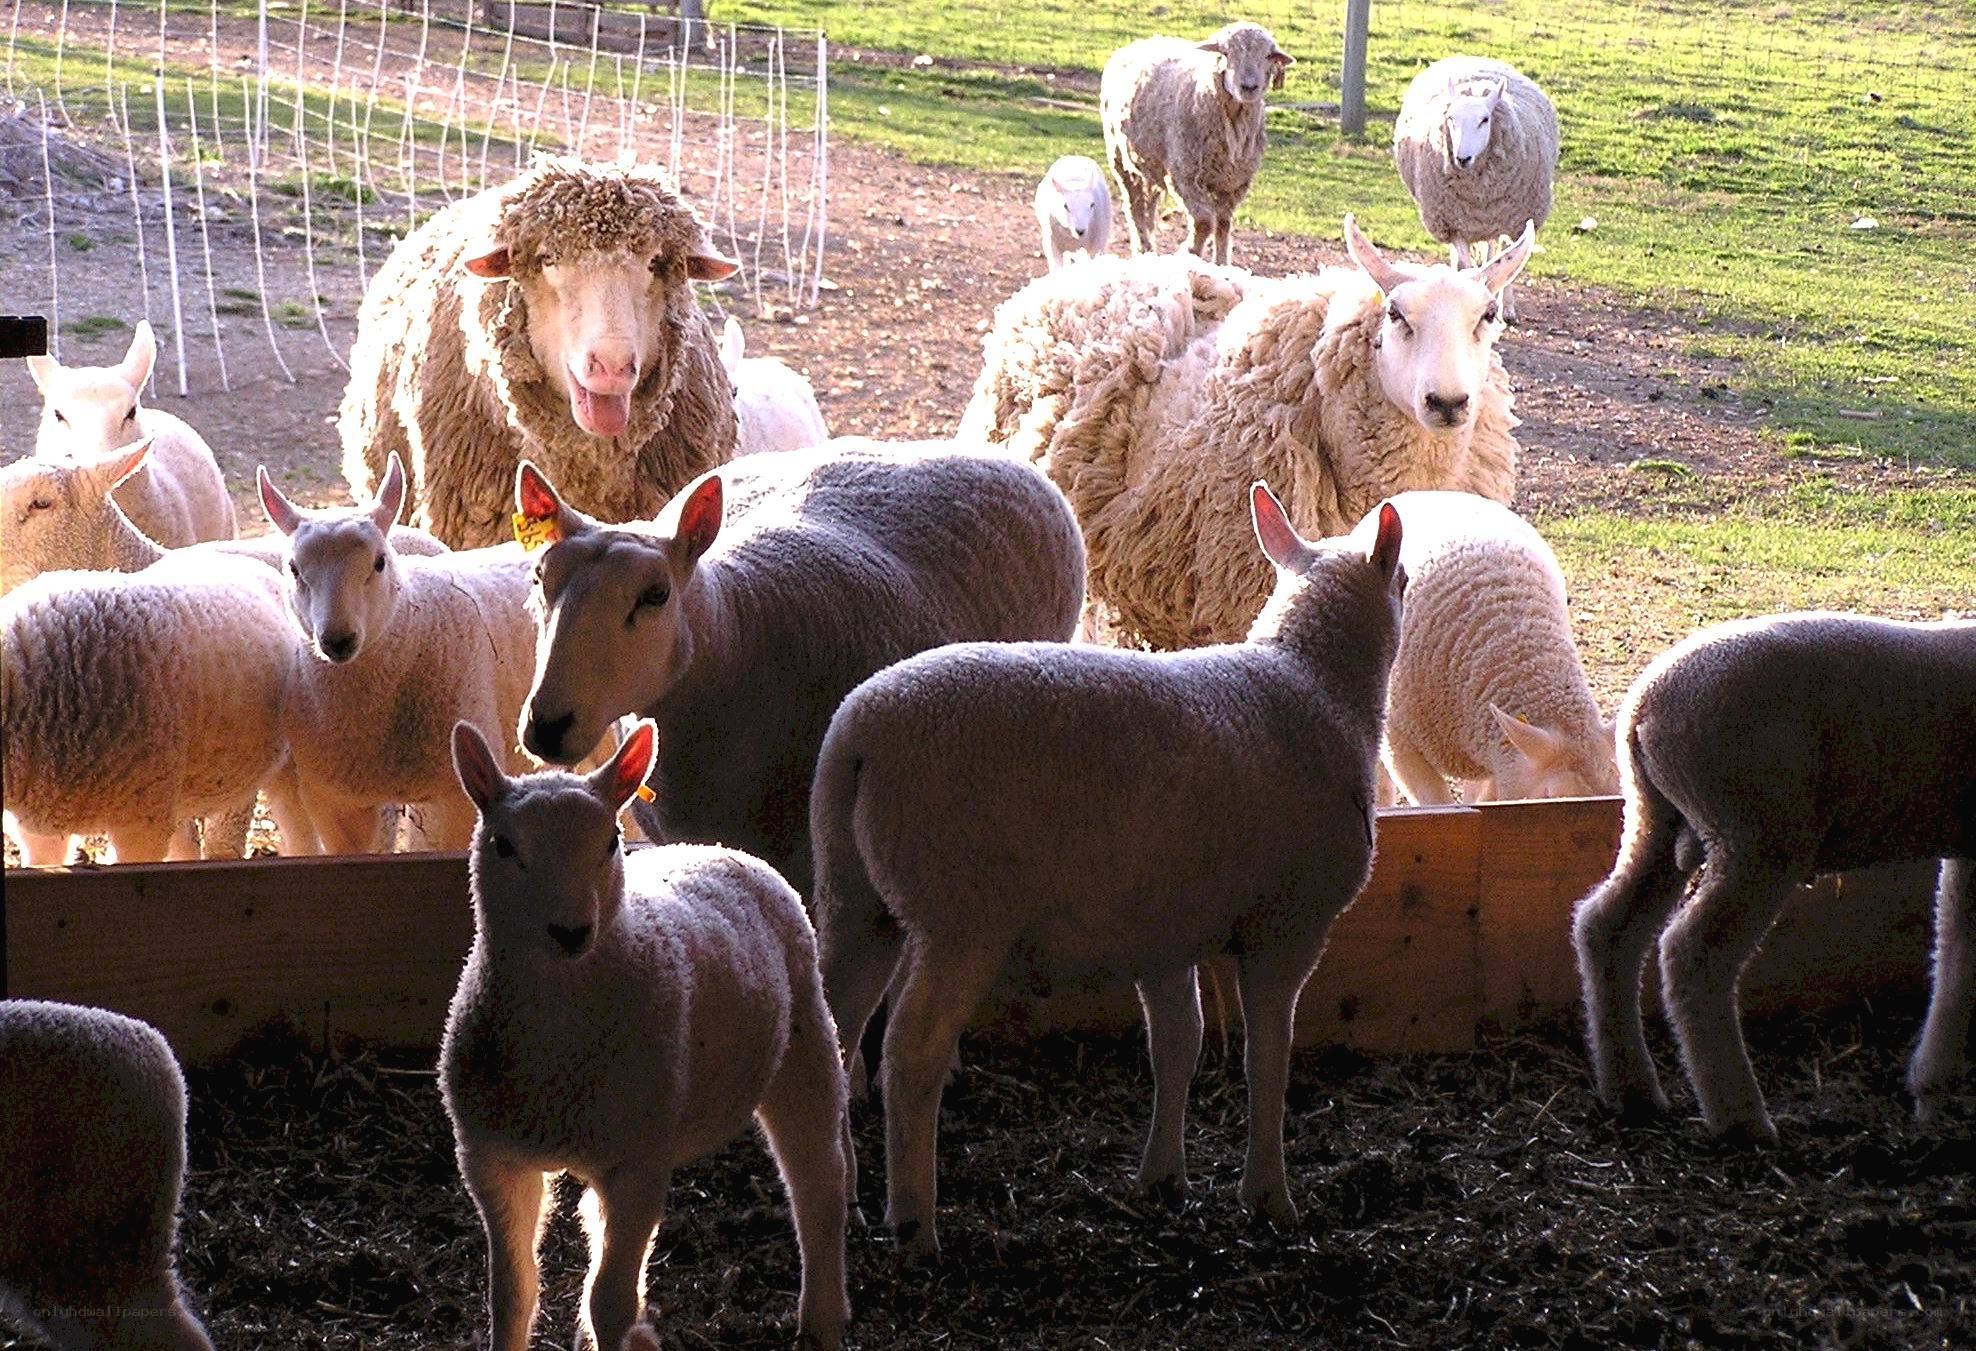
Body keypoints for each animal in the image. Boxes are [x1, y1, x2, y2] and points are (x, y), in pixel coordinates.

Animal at [440, 719, 850, 1351]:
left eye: (611, 841)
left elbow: (609, 1302)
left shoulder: (638, 1165)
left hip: (805, 1037)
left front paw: (617, 1327)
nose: (570, 931)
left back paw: (823, 1317)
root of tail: (716, 847)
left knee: (818, 1180)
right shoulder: (492, 1158)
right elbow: (512, 1295)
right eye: (504, 846)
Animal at [810, 486, 1405, 1260]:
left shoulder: (1164, 928)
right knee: (910, 1054)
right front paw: (1269, 1197)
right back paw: (915, 1227)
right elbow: (1268, 1057)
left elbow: (1178, 1044)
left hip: (854, 895)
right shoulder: (1287, 926)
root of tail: (857, 734)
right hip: (960, 911)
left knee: (836, 1033)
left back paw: (848, 1203)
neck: (1316, 687)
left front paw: (1163, 1178)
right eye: (1405, 579)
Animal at [1099, 21, 1293, 265]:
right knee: (1134, 206)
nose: (1249, 87)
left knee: (1148, 204)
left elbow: (1223, 225)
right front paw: (1188, 252)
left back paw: (1150, 250)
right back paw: (1143, 248)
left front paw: (1221, 264)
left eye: (1267, 55)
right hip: (1120, 157)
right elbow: (1204, 222)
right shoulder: (1184, 177)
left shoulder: (1234, 183)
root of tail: (1141, 41)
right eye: (1226, 53)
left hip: (1151, 164)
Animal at [1393, 56, 1559, 324]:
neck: (1478, 193)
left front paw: (1505, 309)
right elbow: (1466, 266)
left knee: (1495, 252)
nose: (1462, 158)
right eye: (1451, 119)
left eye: (1484, 120)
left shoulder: (1516, 220)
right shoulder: (1452, 222)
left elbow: (1507, 261)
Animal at [1572, 612, 1976, 1143]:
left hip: (1654, 816)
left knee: (1607, 927)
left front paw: (1932, 1088)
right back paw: (1740, 1118)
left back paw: (1630, 1090)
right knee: (1692, 953)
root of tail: (1646, 705)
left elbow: (1957, 949)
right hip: (1755, 832)